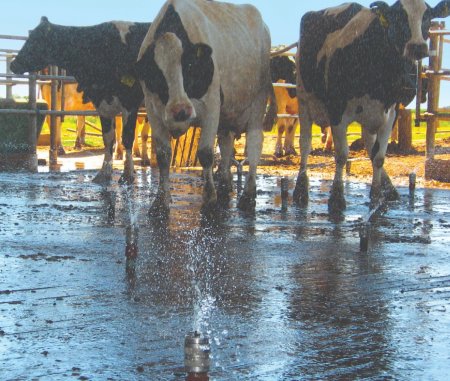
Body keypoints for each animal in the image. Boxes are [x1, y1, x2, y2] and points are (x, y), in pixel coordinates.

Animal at [9, 17, 150, 184]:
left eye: (36, 39)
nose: (13, 64)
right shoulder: (104, 102)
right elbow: (108, 138)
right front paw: (104, 173)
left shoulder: (129, 101)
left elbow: (128, 136)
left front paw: (128, 174)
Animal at [135, 0, 276, 214]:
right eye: (156, 73)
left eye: (189, 65)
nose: (180, 111)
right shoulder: (153, 111)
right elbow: (163, 155)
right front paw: (160, 202)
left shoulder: (211, 106)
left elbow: (206, 153)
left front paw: (209, 200)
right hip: (227, 114)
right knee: (226, 144)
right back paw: (225, 186)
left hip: (258, 102)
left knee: (254, 145)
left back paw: (248, 195)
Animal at [292, 0, 450, 214]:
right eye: (397, 18)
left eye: (428, 18)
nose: (417, 47)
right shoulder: (337, 110)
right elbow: (341, 155)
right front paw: (336, 199)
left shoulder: (390, 113)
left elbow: (379, 157)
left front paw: (376, 198)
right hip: (304, 100)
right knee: (305, 144)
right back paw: (300, 190)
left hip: (369, 116)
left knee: (368, 143)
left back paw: (389, 189)